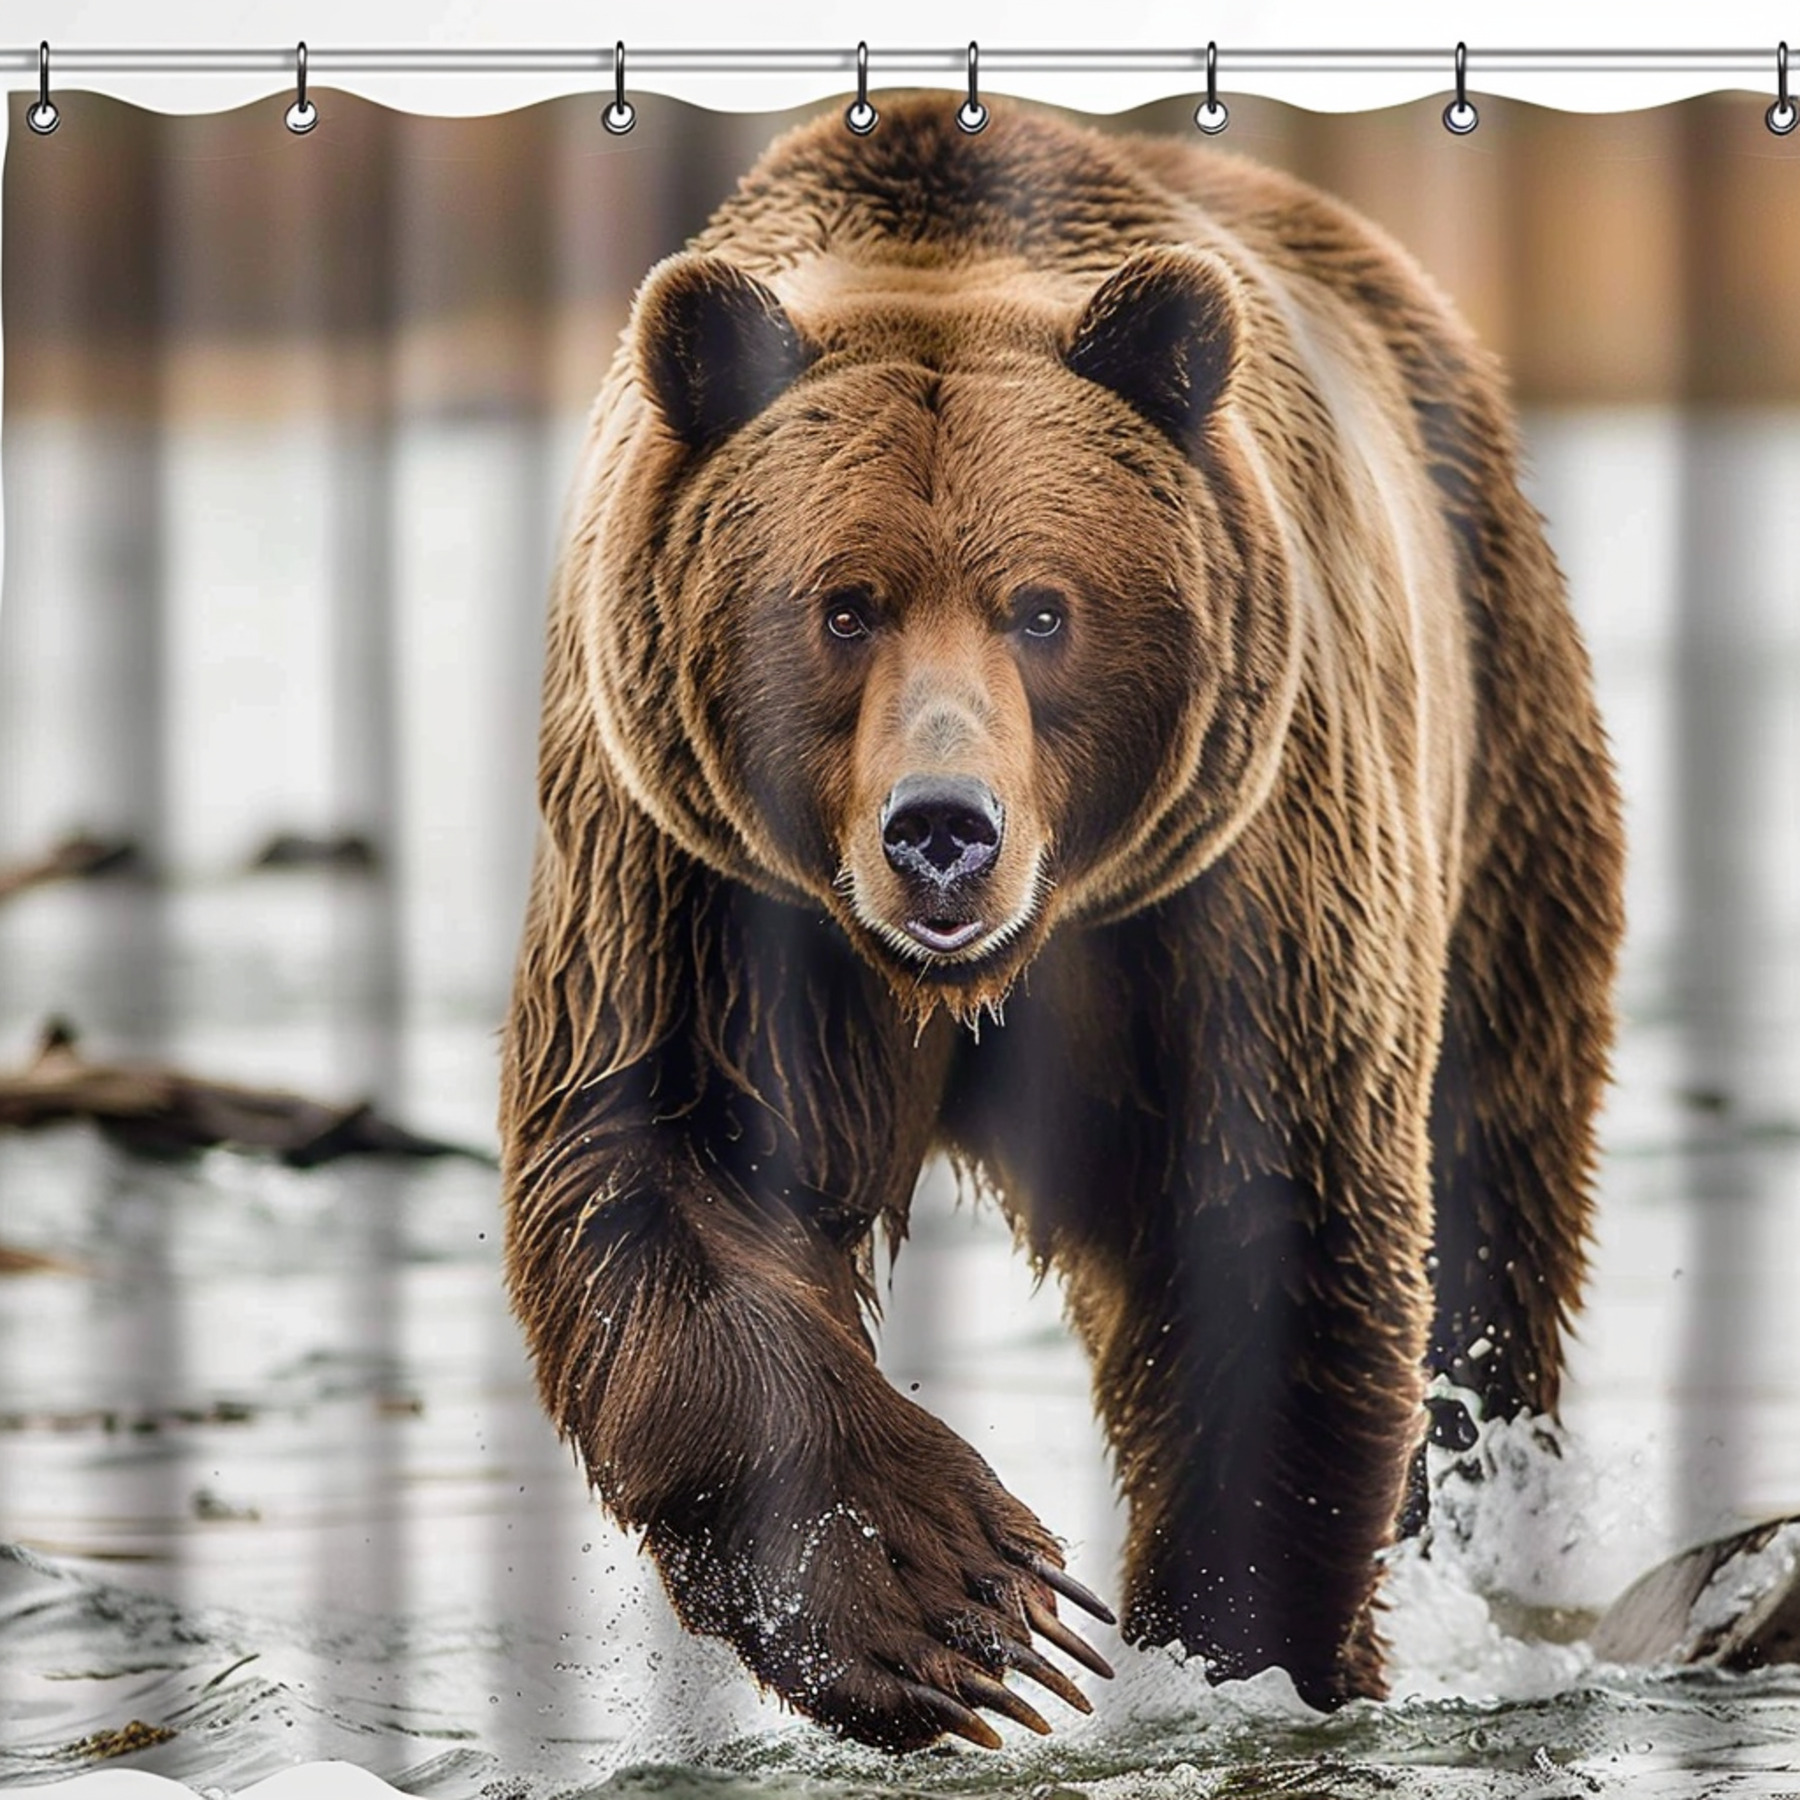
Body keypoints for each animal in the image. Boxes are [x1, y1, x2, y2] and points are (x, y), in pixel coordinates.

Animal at [500, 95, 1625, 1751]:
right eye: (844, 605)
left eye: (1043, 607)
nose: (941, 830)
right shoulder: (696, 886)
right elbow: (654, 1172)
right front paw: (951, 1600)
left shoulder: (1231, 894)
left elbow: (1280, 1234)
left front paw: (1233, 1651)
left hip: (1498, 731)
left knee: (1495, 1179)